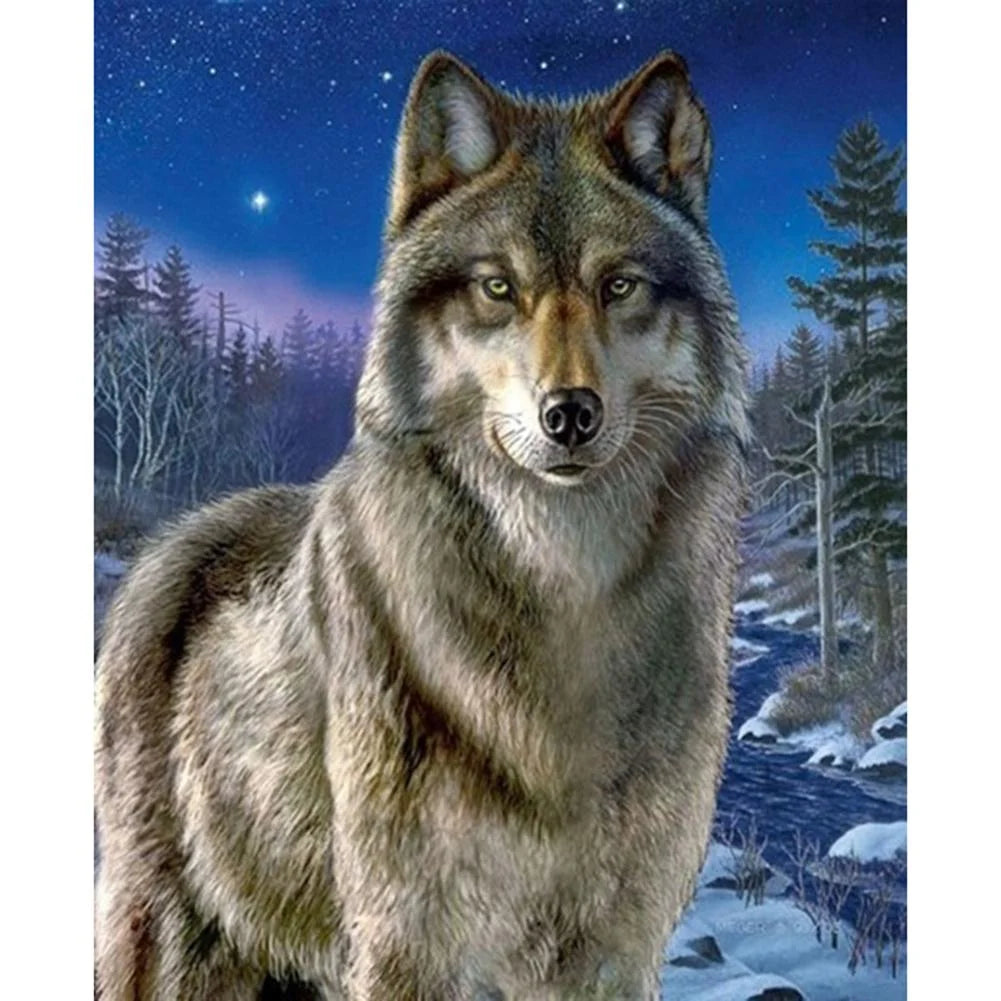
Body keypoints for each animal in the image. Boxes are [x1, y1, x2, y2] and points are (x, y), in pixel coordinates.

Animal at [95, 49, 749, 1001]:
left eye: (617, 285)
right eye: (497, 287)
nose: (569, 415)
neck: (563, 602)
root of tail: (174, 541)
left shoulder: (615, 950)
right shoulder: (408, 943)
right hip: (172, 941)